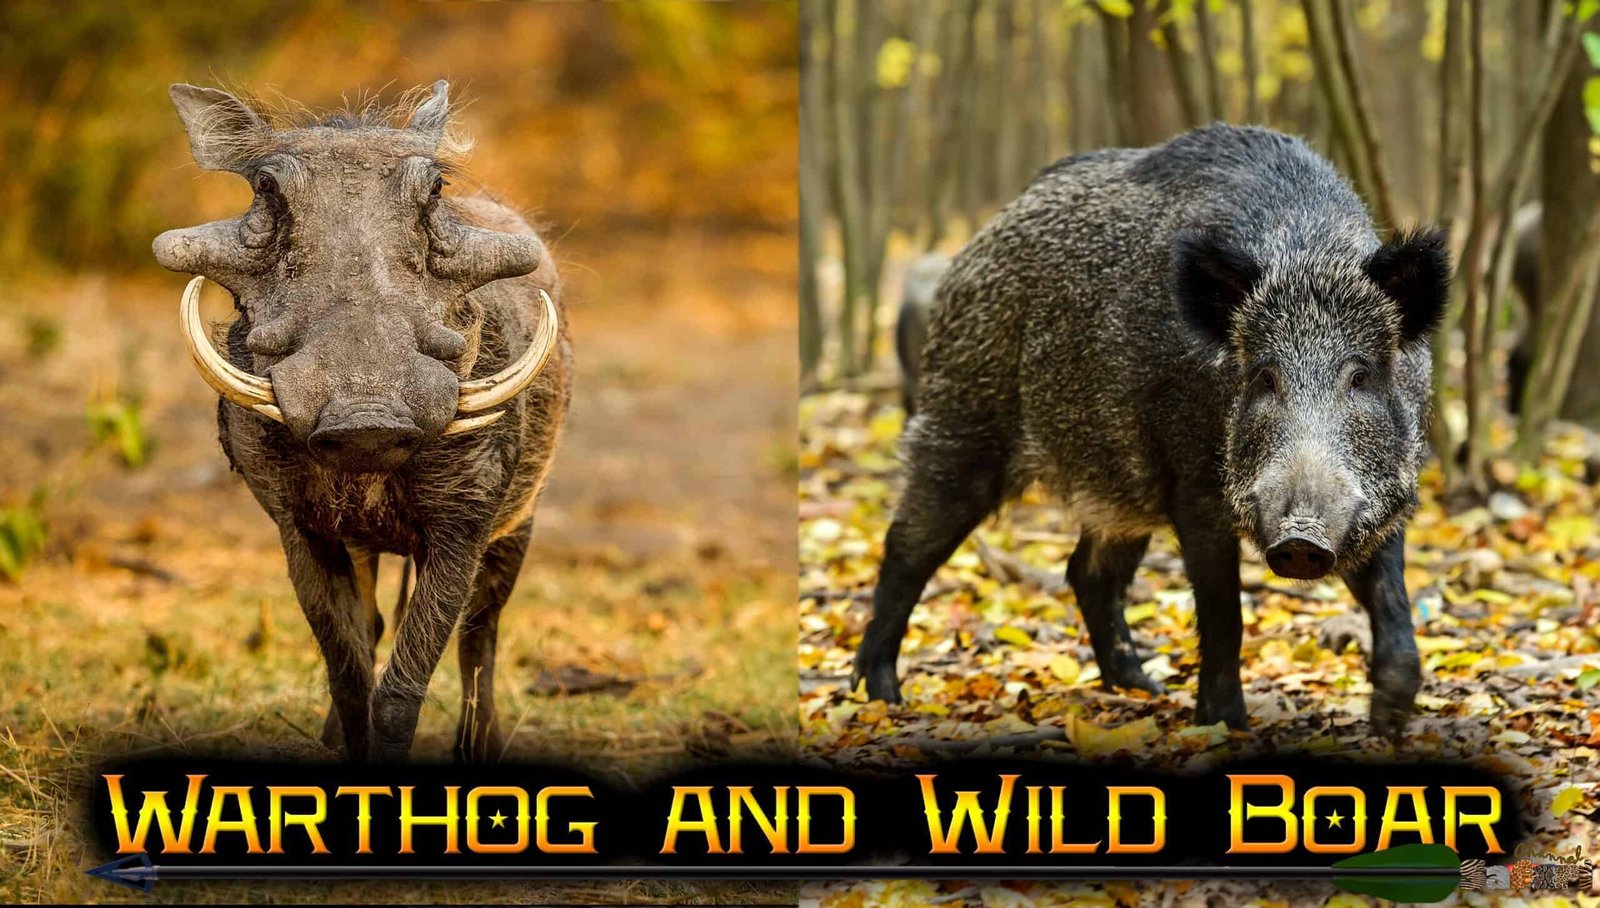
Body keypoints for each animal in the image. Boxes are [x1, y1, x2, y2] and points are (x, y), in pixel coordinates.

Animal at [154, 82, 571, 762]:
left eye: (435, 189)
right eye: (265, 188)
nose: (365, 417)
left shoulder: (464, 525)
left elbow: (403, 690)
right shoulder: (301, 528)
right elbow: (348, 673)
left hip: (520, 520)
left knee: (480, 636)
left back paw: (479, 745)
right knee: (376, 624)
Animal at [854, 125, 1449, 738]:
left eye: (1361, 375)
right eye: (1264, 375)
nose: (1301, 539)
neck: (1305, 251)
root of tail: (972, 250)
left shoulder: (1383, 494)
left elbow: (1392, 598)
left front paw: (1389, 721)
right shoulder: (1194, 486)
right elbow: (1224, 614)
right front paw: (1225, 726)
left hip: (1119, 483)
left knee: (1088, 573)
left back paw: (1142, 689)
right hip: (961, 420)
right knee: (904, 549)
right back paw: (881, 696)